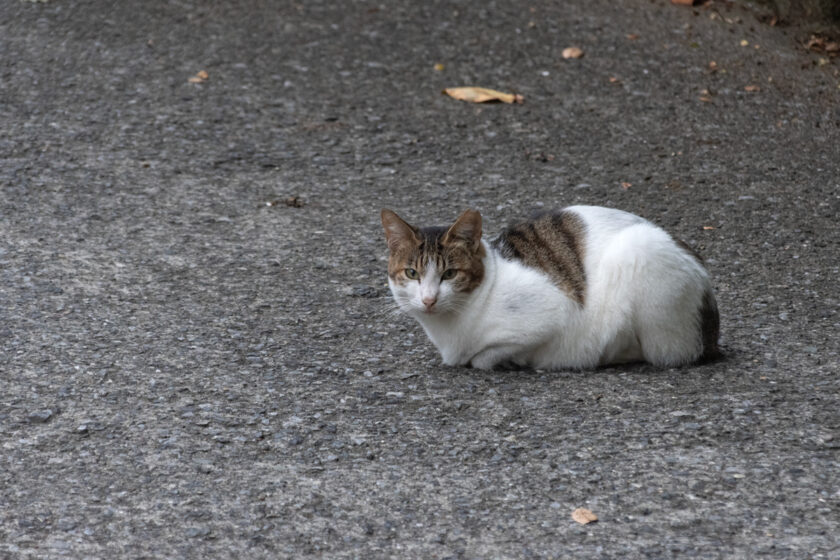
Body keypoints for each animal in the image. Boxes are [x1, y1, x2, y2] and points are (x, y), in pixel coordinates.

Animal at [384, 203, 720, 370]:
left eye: (450, 274)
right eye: (412, 273)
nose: (428, 300)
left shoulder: (555, 312)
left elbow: (484, 358)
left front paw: (510, 361)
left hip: (640, 251)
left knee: (668, 354)